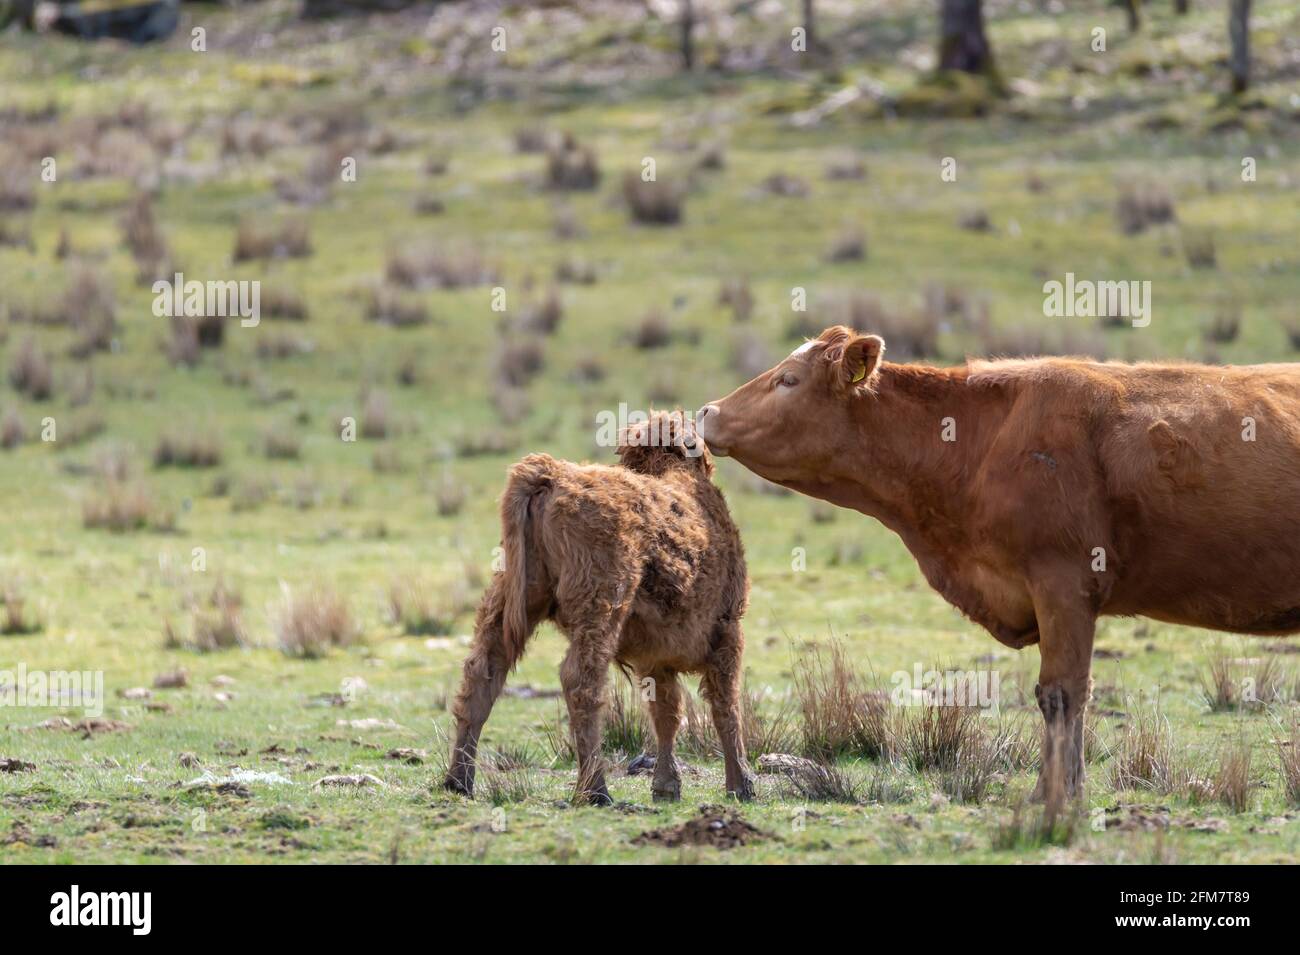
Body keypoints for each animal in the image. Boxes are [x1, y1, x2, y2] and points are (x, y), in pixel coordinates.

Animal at [444, 411, 755, 805]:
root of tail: (553, 473)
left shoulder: (657, 656)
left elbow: (666, 711)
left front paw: (666, 785)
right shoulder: (727, 630)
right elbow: (725, 706)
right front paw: (740, 783)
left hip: (510, 600)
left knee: (482, 671)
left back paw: (459, 779)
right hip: (600, 604)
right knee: (580, 679)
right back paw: (595, 789)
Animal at [696, 324, 1300, 797]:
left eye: (788, 380)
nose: (706, 411)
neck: (982, 444)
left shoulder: (1063, 583)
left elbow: (1062, 694)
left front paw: (1055, 798)